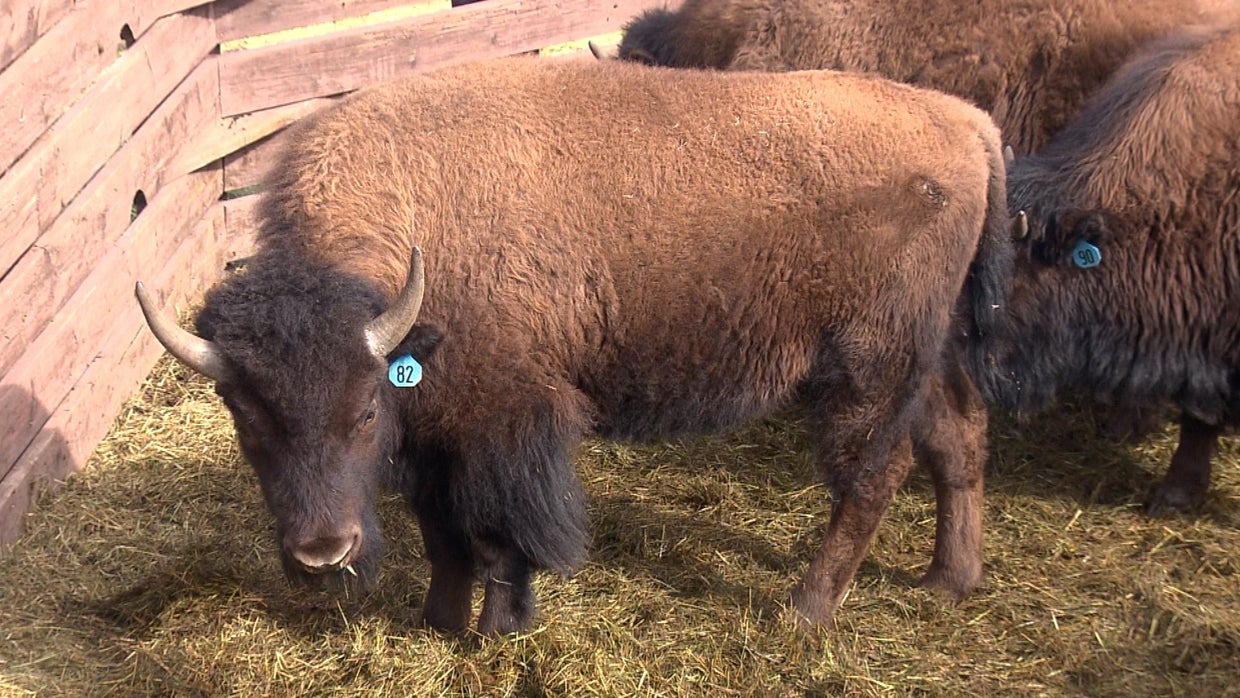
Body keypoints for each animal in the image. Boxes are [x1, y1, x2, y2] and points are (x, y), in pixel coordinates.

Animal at [136, 57, 1013, 633]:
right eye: (246, 422)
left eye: (362, 413)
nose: (323, 555)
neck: (415, 215)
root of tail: (966, 121)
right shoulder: (435, 434)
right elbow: (442, 535)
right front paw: (437, 621)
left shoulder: (506, 422)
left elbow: (500, 535)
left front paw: (498, 627)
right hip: (929, 354)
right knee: (958, 438)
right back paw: (947, 581)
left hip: (867, 367)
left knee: (871, 478)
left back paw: (805, 610)